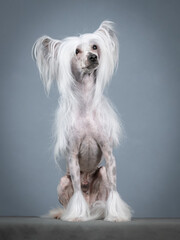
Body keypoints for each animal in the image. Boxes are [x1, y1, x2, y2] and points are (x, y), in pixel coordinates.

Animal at [32, 20, 131, 221]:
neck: (85, 104)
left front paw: (116, 215)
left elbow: (114, 189)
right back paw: (70, 213)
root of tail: (91, 206)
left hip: (102, 174)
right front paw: (76, 216)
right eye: (76, 51)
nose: (92, 57)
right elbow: (77, 190)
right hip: (63, 181)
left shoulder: (109, 154)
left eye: (94, 47)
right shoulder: (72, 155)